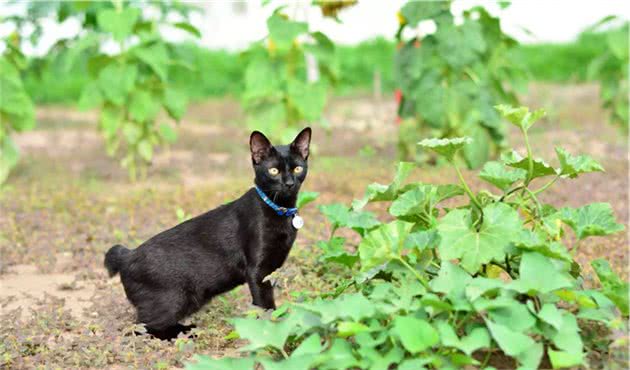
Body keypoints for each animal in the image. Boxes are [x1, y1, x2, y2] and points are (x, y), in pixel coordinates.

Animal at [106, 128, 314, 342]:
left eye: (297, 169)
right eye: (274, 171)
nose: (289, 183)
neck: (280, 209)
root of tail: (127, 255)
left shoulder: (273, 268)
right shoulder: (257, 271)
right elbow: (265, 306)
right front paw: (272, 330)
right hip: (176, 298)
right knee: (143, 327)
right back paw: (188, 331)